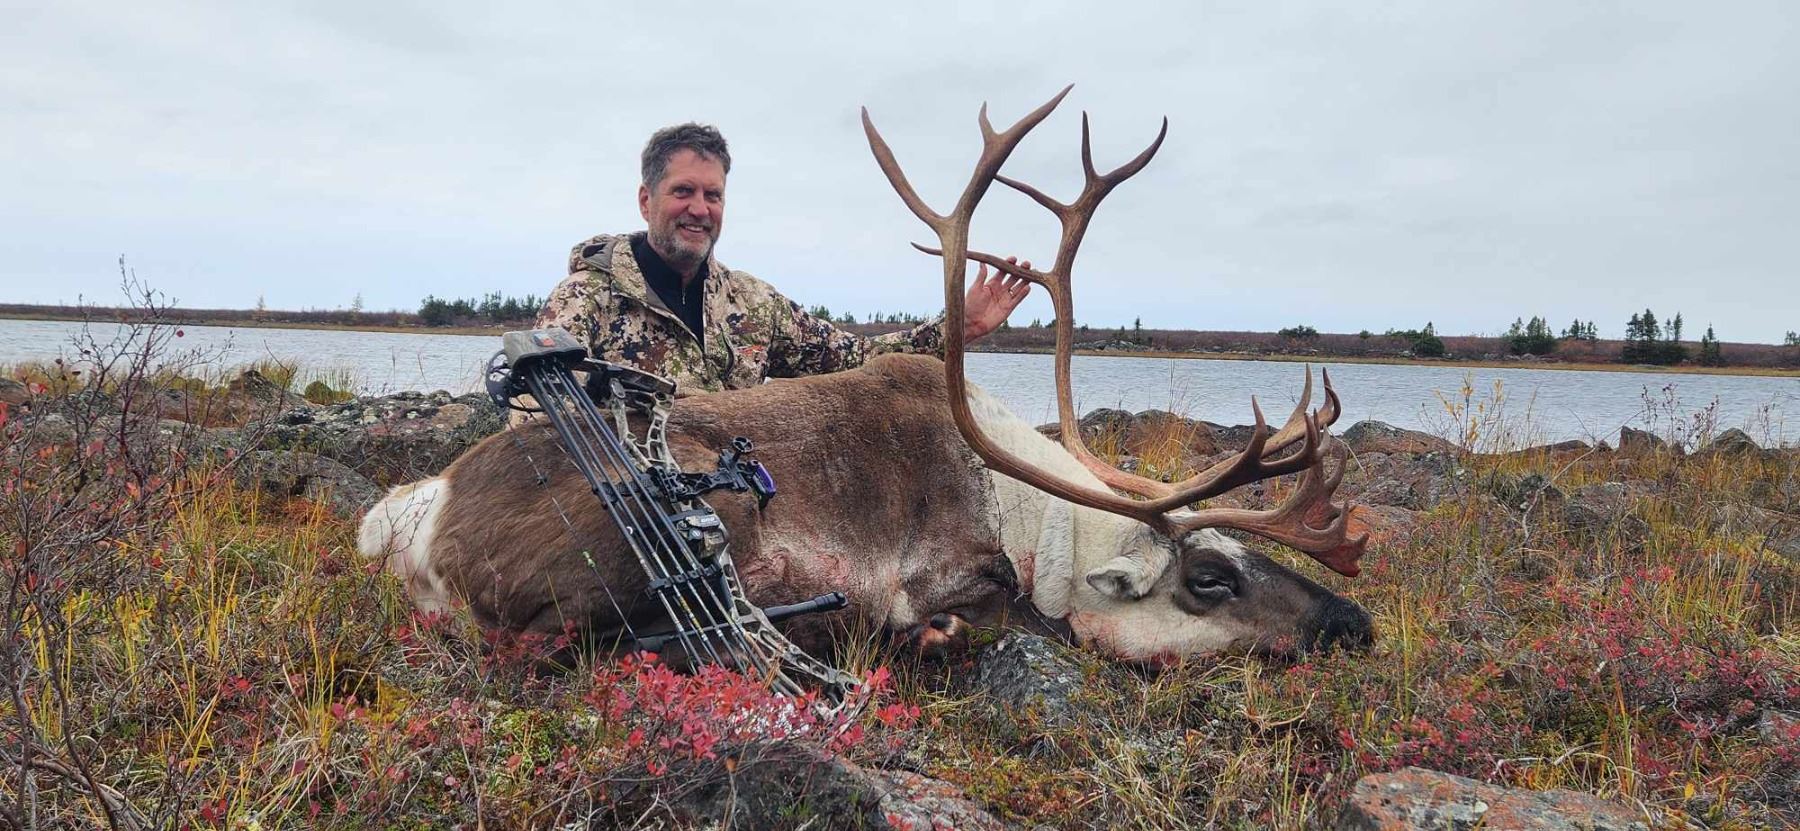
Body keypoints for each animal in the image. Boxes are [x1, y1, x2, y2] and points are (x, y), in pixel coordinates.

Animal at [358, 88, 1372, 665]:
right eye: (1210, 576)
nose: (1355, 624)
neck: (1029, 519)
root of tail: (413, 509)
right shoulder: (947, 571)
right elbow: (996, 614)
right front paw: (931, 631)